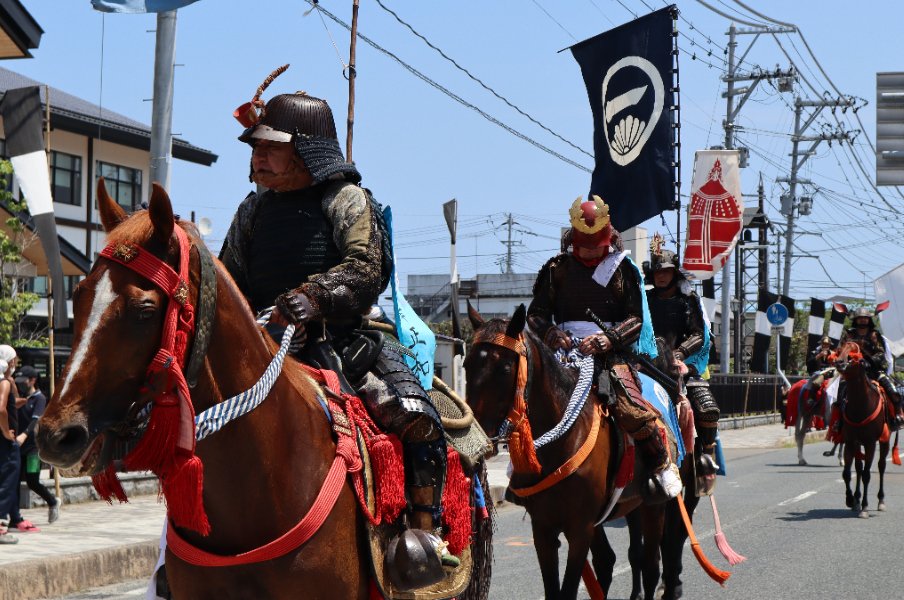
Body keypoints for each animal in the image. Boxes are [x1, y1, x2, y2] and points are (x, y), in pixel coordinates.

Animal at [466, 304, 664, 600]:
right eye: (467, 365)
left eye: (504, 368)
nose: (477, 435)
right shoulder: (544, 528)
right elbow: (553, 589)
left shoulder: (579, 529)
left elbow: (568, 590)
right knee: (608, 560)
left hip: (654, 506)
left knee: (651, 566)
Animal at [832, 342, 888, 516]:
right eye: (839, 350)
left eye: (853, 355)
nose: (839, 362)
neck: (861, 405)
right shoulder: (850, 441)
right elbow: (847, 473)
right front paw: (851, 499)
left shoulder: (870, 442)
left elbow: (867, 474)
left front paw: (864, 507)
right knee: (858, 467)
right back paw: (856, 500)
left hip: (885, 439)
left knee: (881, 466)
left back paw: (880, 500)